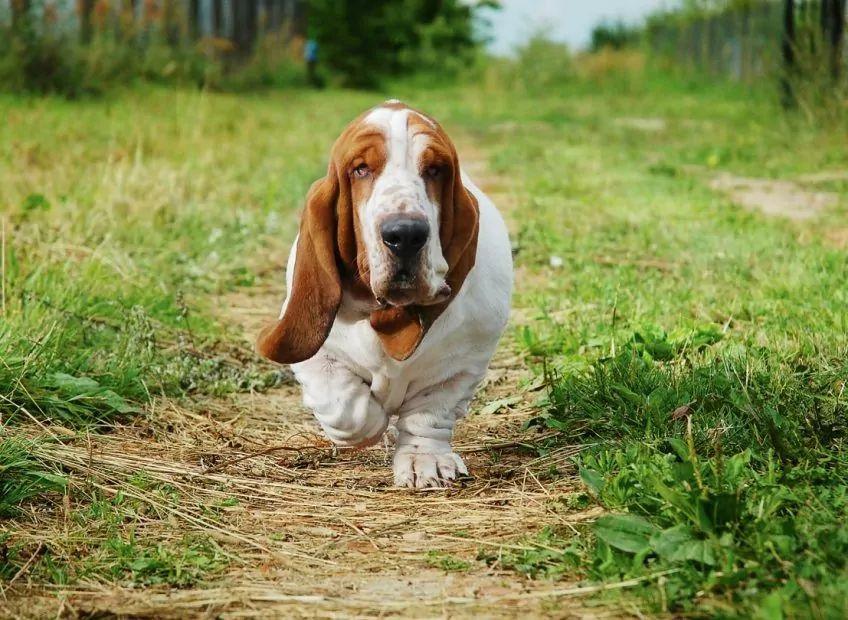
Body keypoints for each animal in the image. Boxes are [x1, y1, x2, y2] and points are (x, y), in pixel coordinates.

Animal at [256, 100, 510, 490]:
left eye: (435, 170)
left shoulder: (462, 364)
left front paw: (424, 461)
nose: (405, 235)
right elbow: (345, 406)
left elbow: (429, 413)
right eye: (361, 169)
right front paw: (372, 424)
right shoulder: (319, 358)